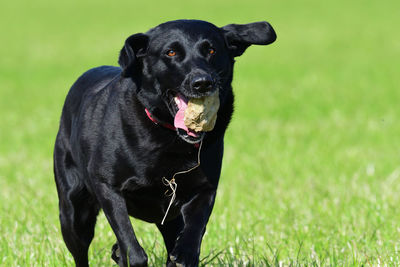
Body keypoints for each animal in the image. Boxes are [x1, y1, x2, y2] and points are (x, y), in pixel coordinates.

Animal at [54, 19, 276, 266]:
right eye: (171, 52)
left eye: (211, 50)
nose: (202, 82)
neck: (169, 137)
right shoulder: (107, 186)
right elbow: (131, 244)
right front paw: (130, 255)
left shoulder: (204, 189)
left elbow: (195, 228)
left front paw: (184, 254)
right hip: (73, 212)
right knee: (80, 249)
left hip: (167, 218)